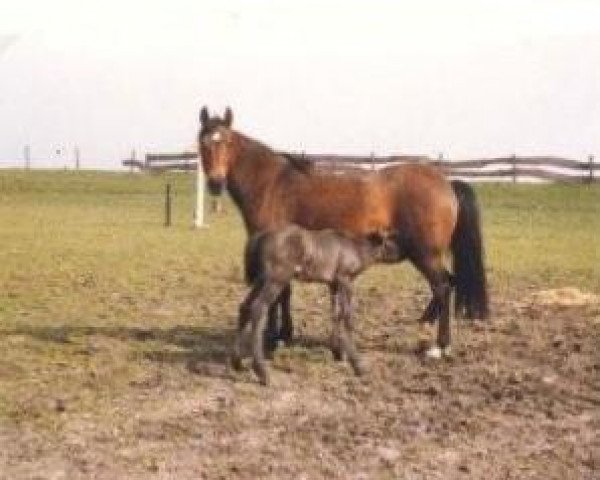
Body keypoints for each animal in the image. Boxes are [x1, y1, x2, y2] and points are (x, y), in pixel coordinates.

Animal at [197, 106, 488, 360]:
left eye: (226, 142)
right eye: (203, 143)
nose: (215, 183)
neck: (272, 184)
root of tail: (446, 182)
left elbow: (279, 295)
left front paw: (273, 338)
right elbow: (285, 294)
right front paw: (283, 335)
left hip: (426, 255)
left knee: (443, 287)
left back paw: (439, 347)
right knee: (446, 285)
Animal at [233, 225, 398, 386]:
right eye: (389, 240)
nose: (399, 254)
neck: (356, 248)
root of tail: (258, 237)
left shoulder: (333, 284)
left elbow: (336, 315)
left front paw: (337, 351)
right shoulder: (345, 279)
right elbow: (348, 318)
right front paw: (357, 364)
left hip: (261, 280)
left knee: (245, 307)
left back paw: (237, 362)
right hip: (276, 279)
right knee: (258, 308)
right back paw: (262, 372)